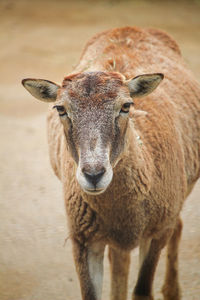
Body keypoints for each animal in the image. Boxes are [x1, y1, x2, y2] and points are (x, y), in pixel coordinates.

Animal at [21, 26, 200, 300]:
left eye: (126, 106)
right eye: (61, 109)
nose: (94, 174)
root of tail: (130, 27)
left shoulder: (157, 232)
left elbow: (142, 291)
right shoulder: (83, 239)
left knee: (177, 227)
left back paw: (172, 291)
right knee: (120, 258)